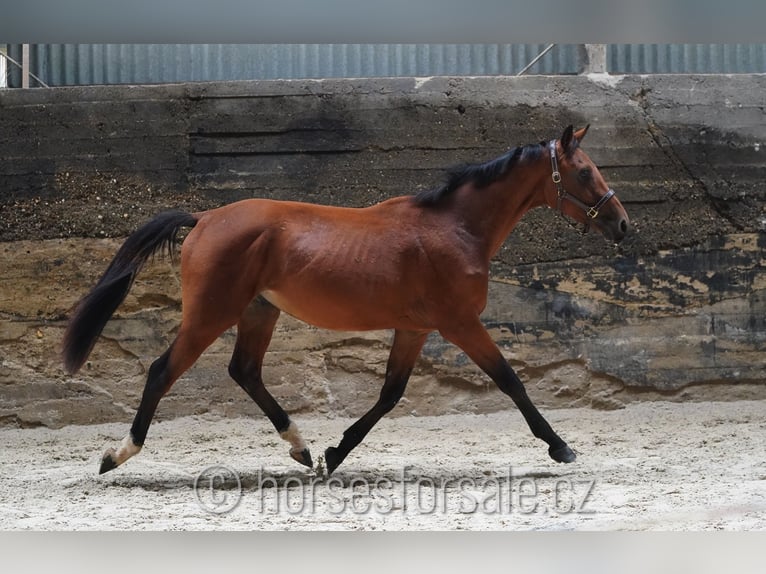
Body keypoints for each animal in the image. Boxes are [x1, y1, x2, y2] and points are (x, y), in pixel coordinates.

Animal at [62, 125, 629, 476]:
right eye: (584, 172)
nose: (622, 223)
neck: (455, 228)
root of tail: (203, 218)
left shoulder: (415, 329)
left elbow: (390, 395)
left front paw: (334, 454)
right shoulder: (459, 323)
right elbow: (510, 380)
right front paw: (561, 447)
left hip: (258, 312)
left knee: (245, 371)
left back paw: (301, 447)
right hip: (210, 314)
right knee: (163, 370)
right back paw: (117, 455)